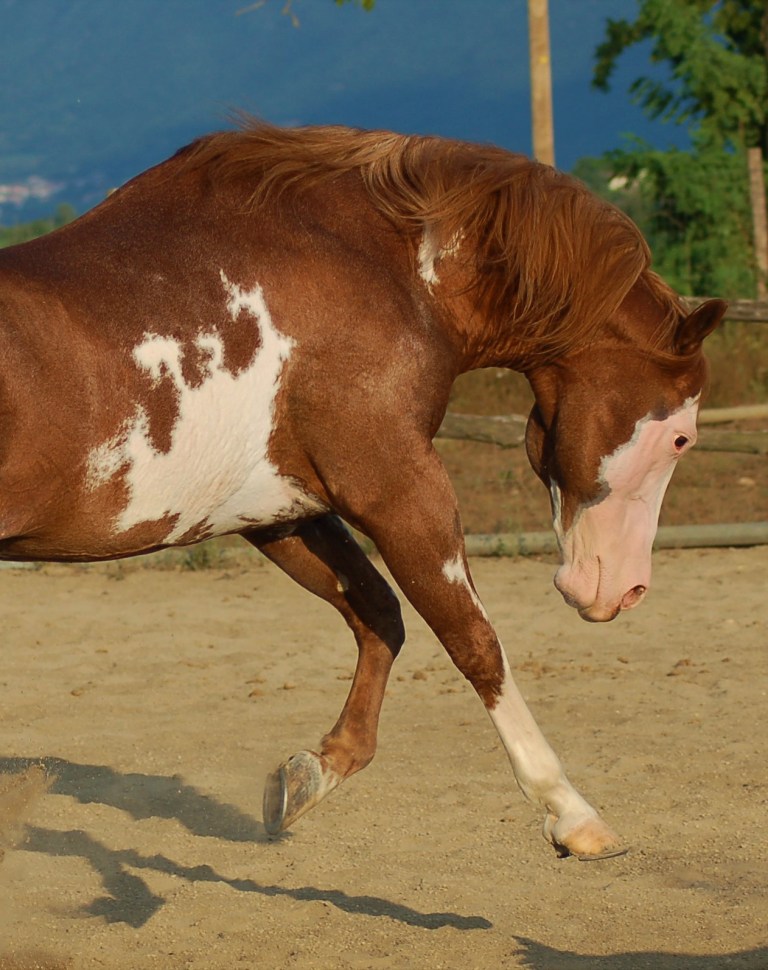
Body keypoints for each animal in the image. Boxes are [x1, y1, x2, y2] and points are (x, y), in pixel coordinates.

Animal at [0, 120, 725, 861]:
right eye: (682, 439)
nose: (625, 591)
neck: (383, 270)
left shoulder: (284, 511)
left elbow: (378, 613)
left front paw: (309, 775)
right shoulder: (398, 488)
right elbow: (473, 641)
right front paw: (572, 814)